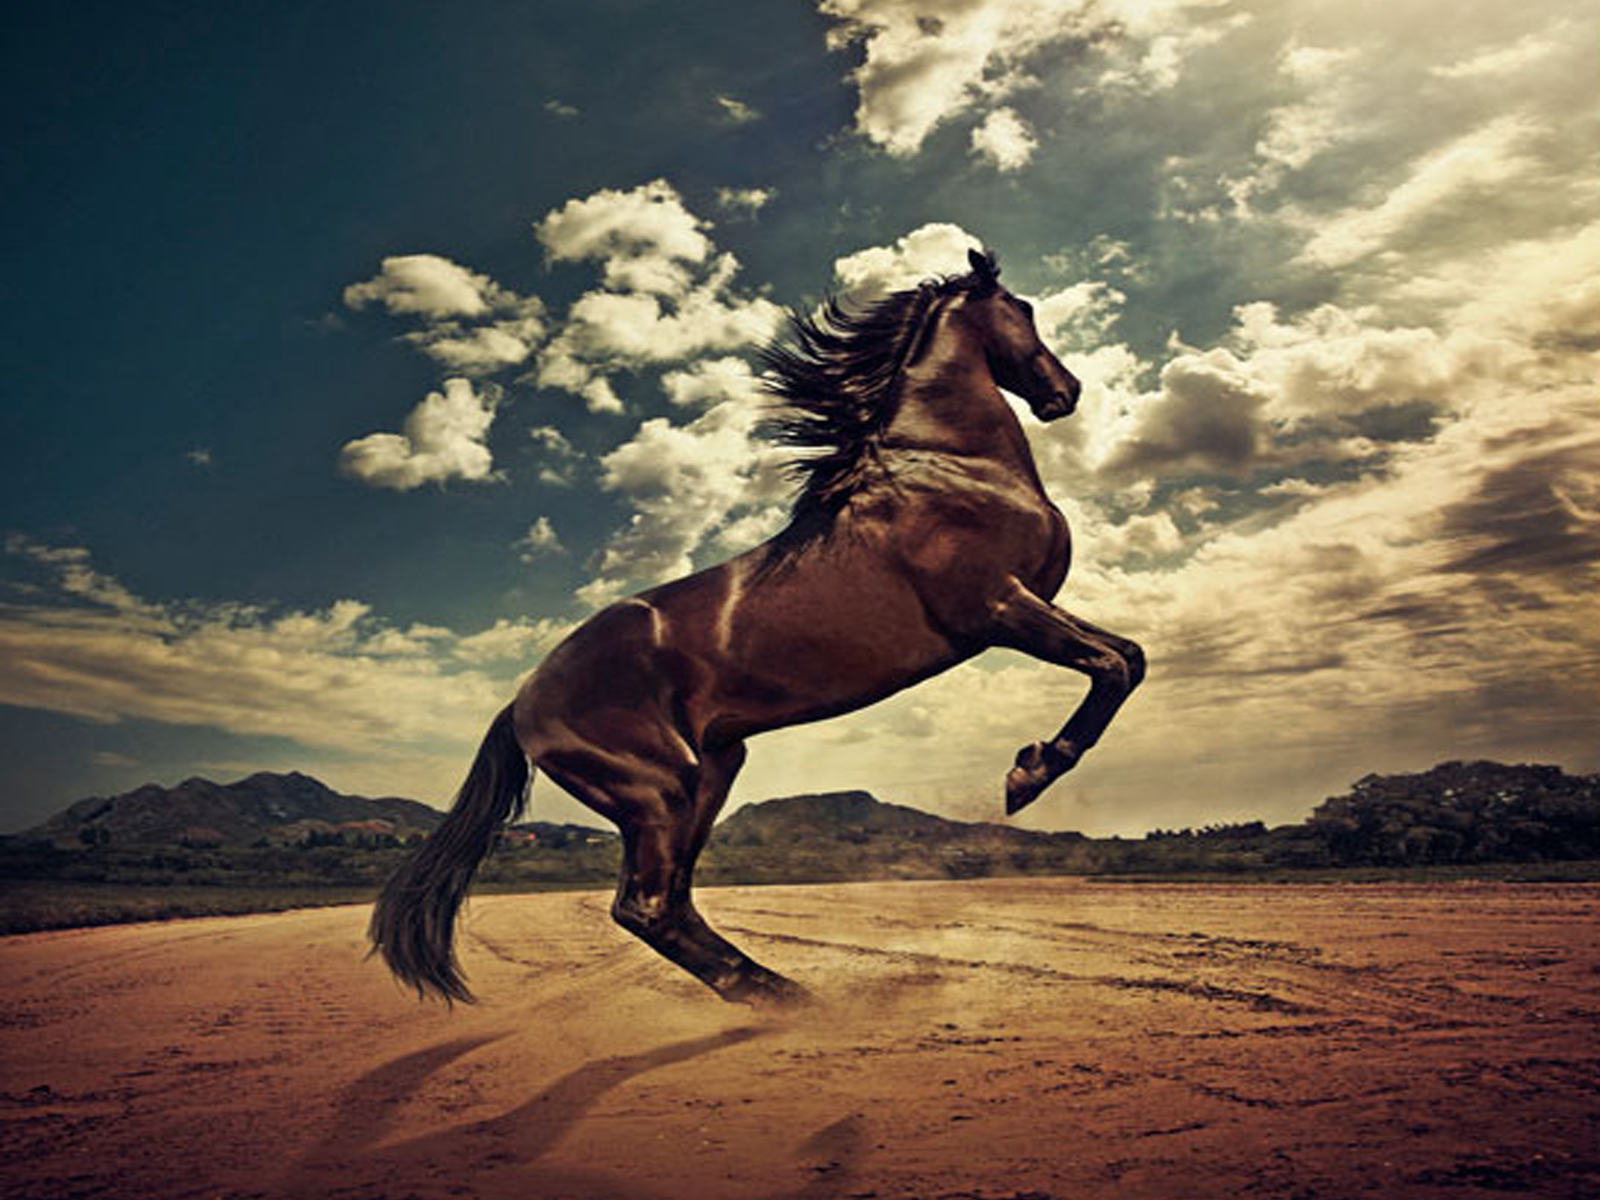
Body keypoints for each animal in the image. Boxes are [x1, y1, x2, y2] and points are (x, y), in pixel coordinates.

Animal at [371, 249, 1152, 1011]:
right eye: (1024, 309)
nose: (1066, 392)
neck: (950, 467)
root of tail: (523, 701)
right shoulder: (996, 608)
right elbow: (1115, 665)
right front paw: (1030, 773)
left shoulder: (1018, 607)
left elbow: (1129, 657)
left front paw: (1032, 762)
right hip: (659, 789)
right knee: (644, 906)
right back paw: (786, 999)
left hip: (713, 770)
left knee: (671, 903)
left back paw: (782, 994)